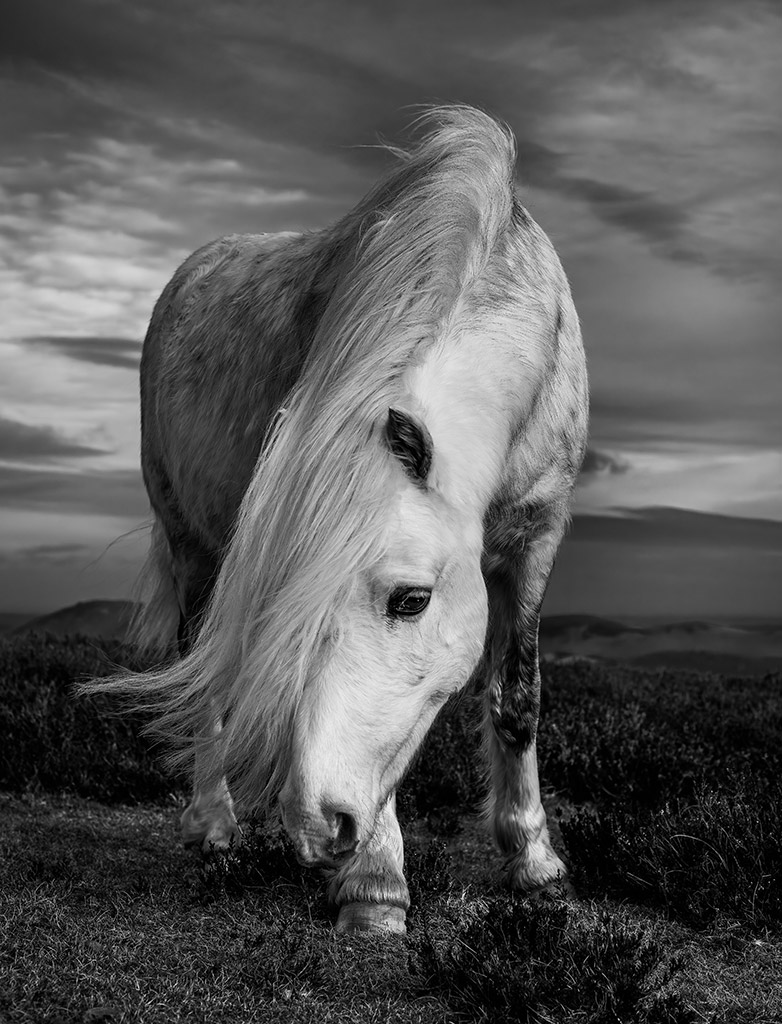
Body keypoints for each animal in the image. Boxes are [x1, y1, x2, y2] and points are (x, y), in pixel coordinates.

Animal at [87, 108, 585, 933]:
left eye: (411, 600)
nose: (319, 827)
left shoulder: (535, 541)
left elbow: (519, 700)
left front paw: (534, 862)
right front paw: (375, 885)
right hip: (191, 546)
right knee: (202, 670)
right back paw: (212, 825)